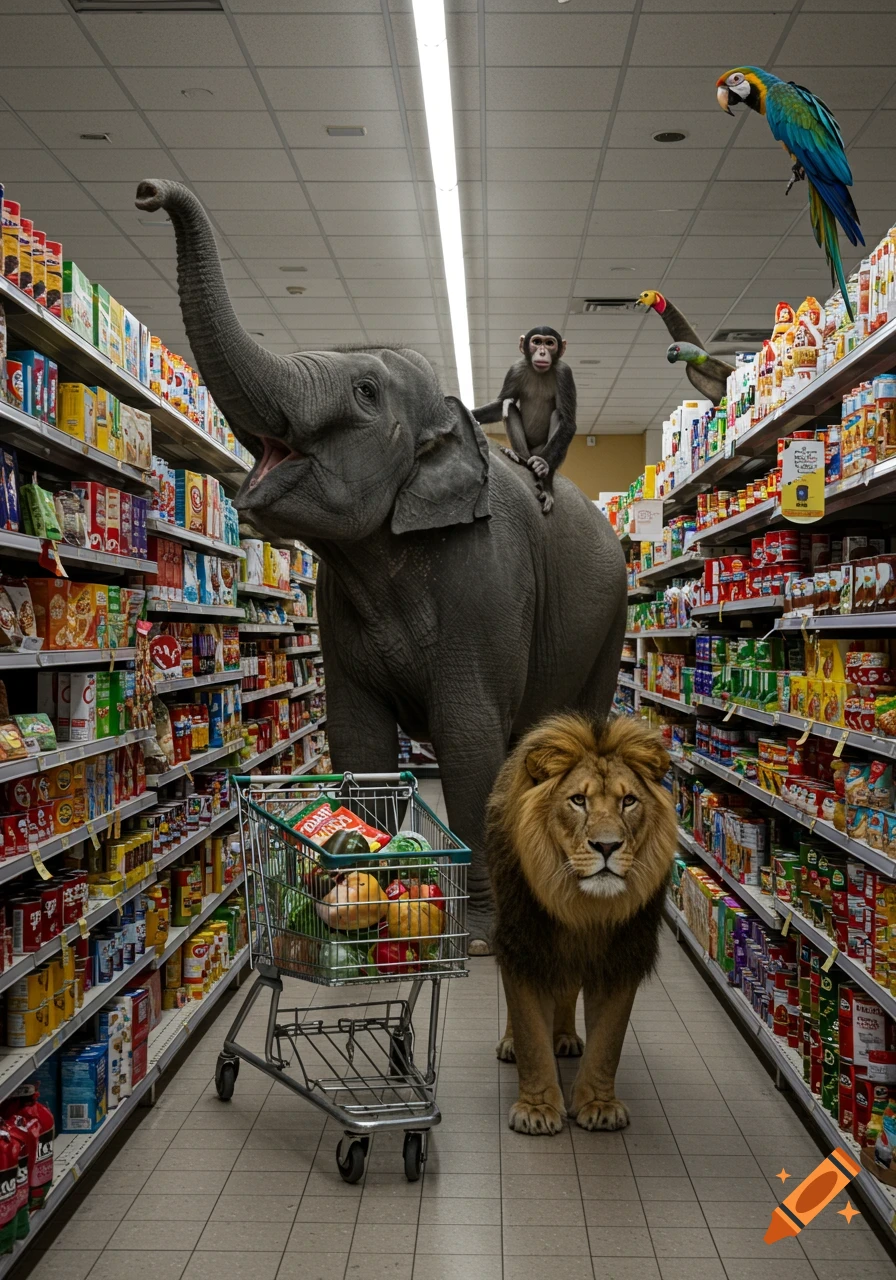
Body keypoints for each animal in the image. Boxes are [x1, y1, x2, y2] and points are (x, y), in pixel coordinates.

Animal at [471, 326, 577, 515]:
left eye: (550, 343)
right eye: (537, 342)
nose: (542, 352)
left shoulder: (565, 373)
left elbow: (568, 421)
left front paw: (543, 465)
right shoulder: (515, 370)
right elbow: (500, 404)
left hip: (542, 450)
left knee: (558, 415)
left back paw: (545, 480)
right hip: (527, 450)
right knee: (509, 407)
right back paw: (517, 456)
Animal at [486, 712, 677, 1136]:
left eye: (628, 801)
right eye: (578, 800)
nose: (607, 846)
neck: (584, 909)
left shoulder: (621, 958)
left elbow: (608, 1042)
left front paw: (599, 1105)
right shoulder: (525, 947)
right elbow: (530, 1033)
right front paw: (537, 1109)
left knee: (568, 987)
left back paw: (566, 1037)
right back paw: (511, 1044)